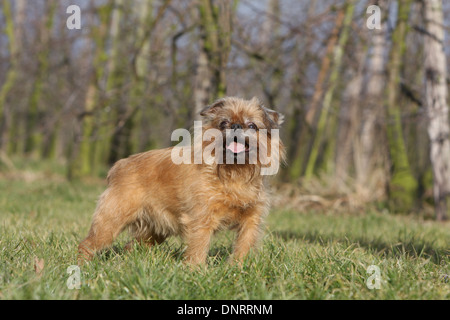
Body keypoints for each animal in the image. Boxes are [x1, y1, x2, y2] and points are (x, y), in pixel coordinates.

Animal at [75, 97, 284, 264]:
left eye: (252, 126)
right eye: (223, 123)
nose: (236, 126)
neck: (234, 173)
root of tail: (119, 166)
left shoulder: (251, 220)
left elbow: (243, 246)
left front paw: (237, 269)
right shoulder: (201, 219)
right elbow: (198, 247)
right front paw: (196, 271)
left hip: (155, 231)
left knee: (131, 246)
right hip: (110, 221)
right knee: (87, 244)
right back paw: (82, 265)